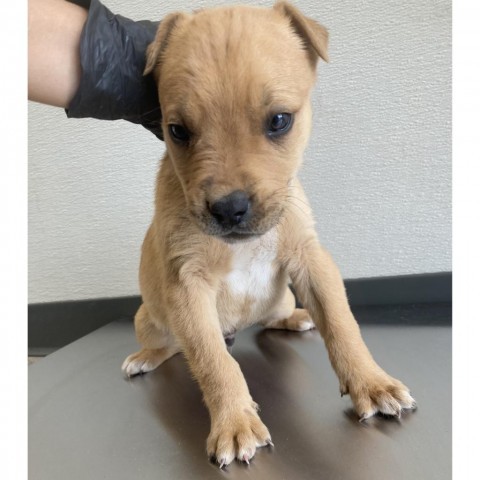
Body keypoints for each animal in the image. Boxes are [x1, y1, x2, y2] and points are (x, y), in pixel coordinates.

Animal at [121, 1, 416, 466]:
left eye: (279, 120)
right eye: (178, 131)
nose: (229, 208)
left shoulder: (310, 259)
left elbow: (342, 324)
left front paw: (372, 383)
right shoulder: (188, 288)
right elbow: (212, 361)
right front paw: (234, 423)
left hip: (283, 295)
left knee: (275, 316)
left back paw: (296, 319)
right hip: (150, 319)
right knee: (177, 346)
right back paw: (145, 357)